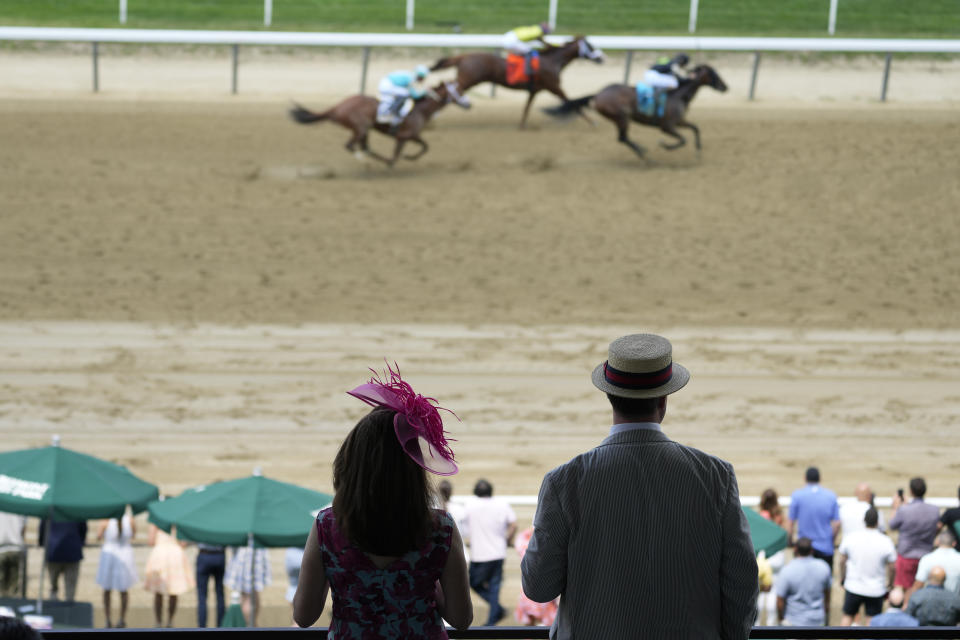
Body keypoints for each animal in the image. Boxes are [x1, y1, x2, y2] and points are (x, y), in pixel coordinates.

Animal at [288, 82, 468, 168]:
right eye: (459, 91)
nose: (468, 104)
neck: (419, 109)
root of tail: (337, 107)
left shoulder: (411, 136)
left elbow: (425, 146)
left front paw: (407, 158)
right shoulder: (404, 136)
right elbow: (404, 153)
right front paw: (402, 159)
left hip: (364, 131)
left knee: (365, 147)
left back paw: (370, 160)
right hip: (360, 129)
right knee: (350, 146)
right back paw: (364, 160)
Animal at [432, 37, 604, 129]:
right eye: (590, 46)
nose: (601, 58)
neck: (553, 61)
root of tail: (463, 56)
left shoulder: (534, 91)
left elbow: (526, 108)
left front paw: (521, 126)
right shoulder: (554, 87)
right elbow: (572, 103)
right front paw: (593, 122)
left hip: (467, 79)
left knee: (448, 86)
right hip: (468, 80)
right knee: (451, 87)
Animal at [544, 63, 724, 158]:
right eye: (713, 73)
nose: (725, 86)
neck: (678, 94)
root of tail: (598, 94)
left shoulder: (679, 121)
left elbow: (695, 128)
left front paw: (698, 149)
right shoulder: (667, 127)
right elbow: (682, 139)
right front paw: (665, 145)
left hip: (620, 118)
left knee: (622, 138)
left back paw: (641, 152)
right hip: (622, 116)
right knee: (622, 138)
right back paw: (643, 153)